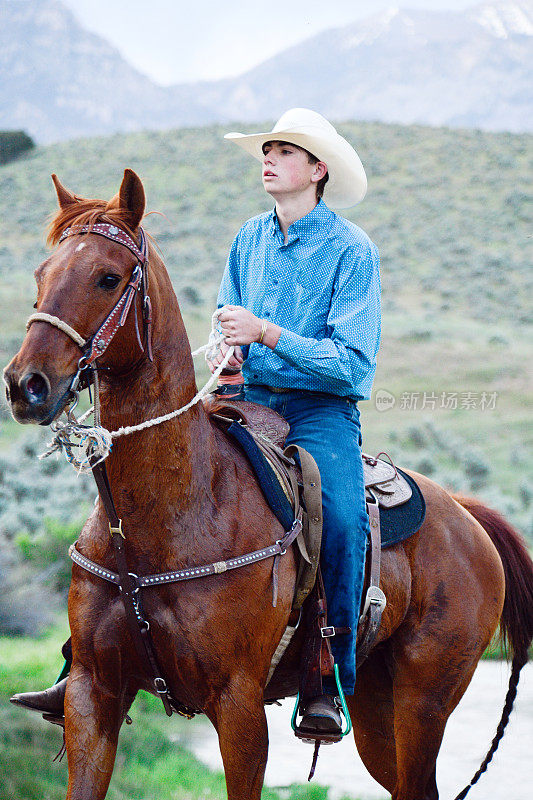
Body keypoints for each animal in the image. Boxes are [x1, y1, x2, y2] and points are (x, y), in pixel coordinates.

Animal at [5, 170, 532, 800]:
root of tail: (470, 518)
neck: (171, 513)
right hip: (377, 712)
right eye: (42, 274)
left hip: (423, 702)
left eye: (108, 277)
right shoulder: (92, 695)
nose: (26, 385)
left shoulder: (238, 707)